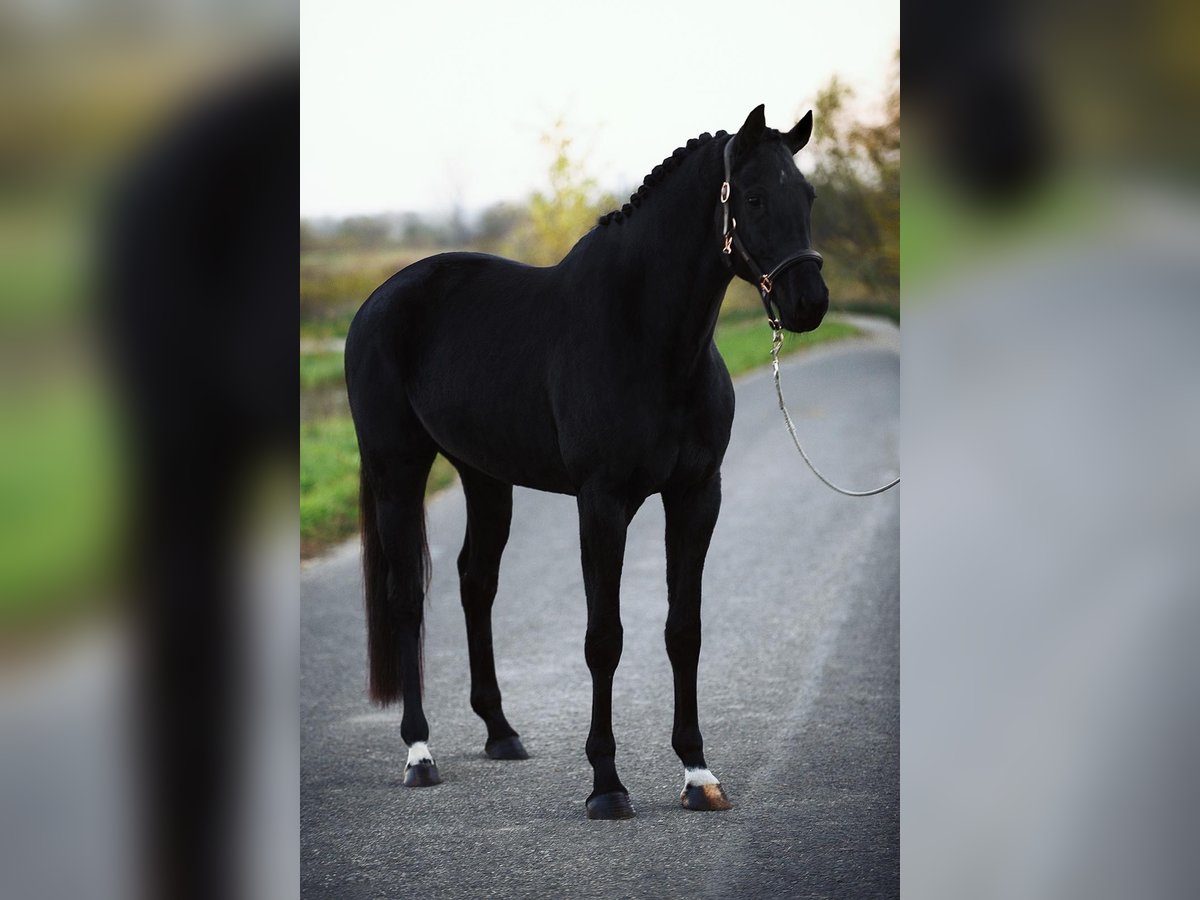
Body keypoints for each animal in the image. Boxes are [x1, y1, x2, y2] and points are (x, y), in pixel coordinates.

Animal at [343, 102, 820, 820]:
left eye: (809, 195)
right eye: (756, 197)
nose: (811, 302)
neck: (644, 336)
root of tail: (378, 300)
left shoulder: (696, 495)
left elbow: (684, 630)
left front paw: (698, 773)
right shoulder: (602, 502)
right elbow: (605, 638)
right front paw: (606, 785)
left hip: (485, 475)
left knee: (475, 582)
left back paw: (501, 732)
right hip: (397, 470)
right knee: (406, 598)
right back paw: (419, 754)